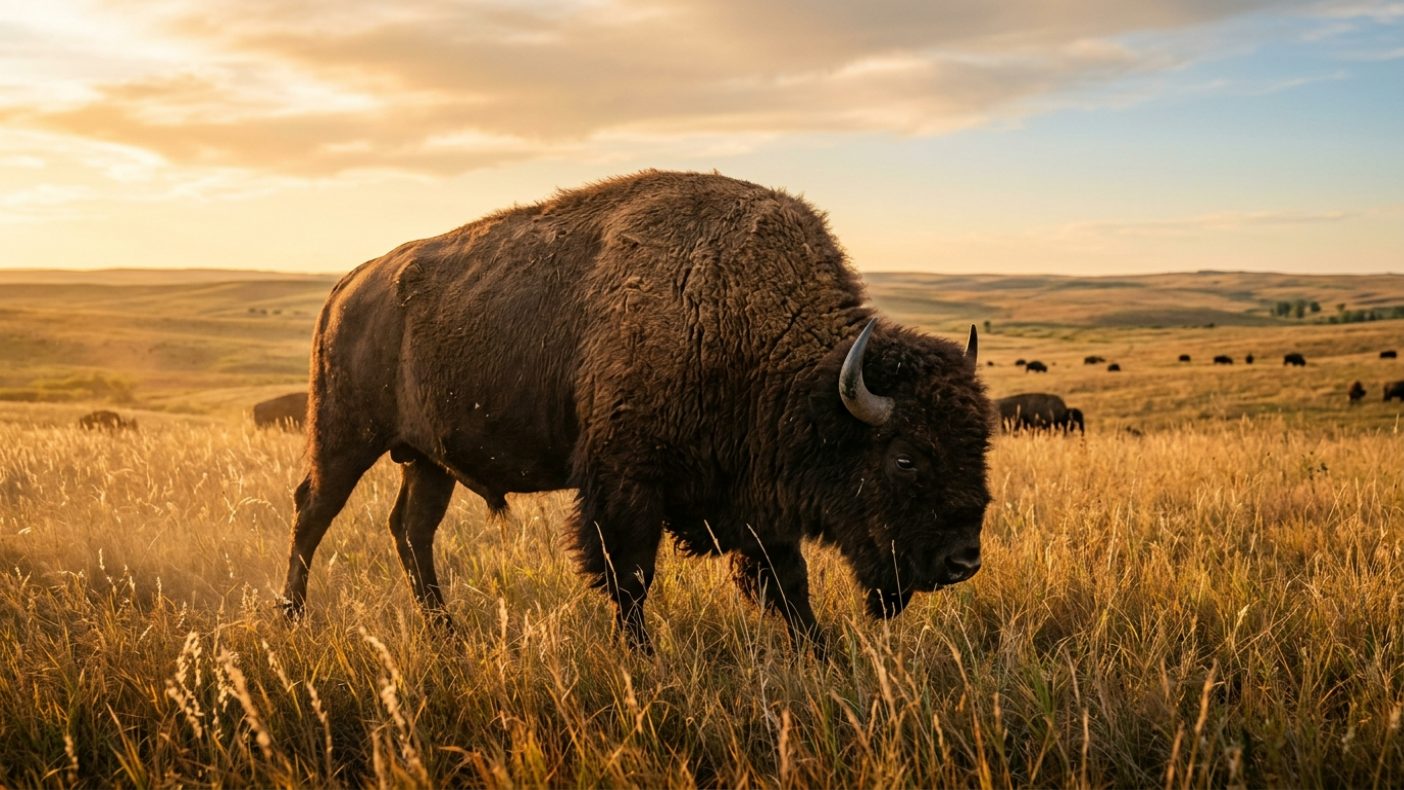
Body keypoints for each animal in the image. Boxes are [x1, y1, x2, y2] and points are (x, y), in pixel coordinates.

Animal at [279, 171, 993, 654]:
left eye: (979, 445)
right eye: (905, 457)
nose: (964, 562)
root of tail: (348, 285)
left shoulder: (753, 498)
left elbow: (788, 584)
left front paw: (821, 655)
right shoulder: (627, 482)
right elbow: (630, 576)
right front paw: (642, 656)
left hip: (428, 460)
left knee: (412, 530)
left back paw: (444, 630)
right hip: (344, 436)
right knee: (313, 512)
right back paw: (290, 617)